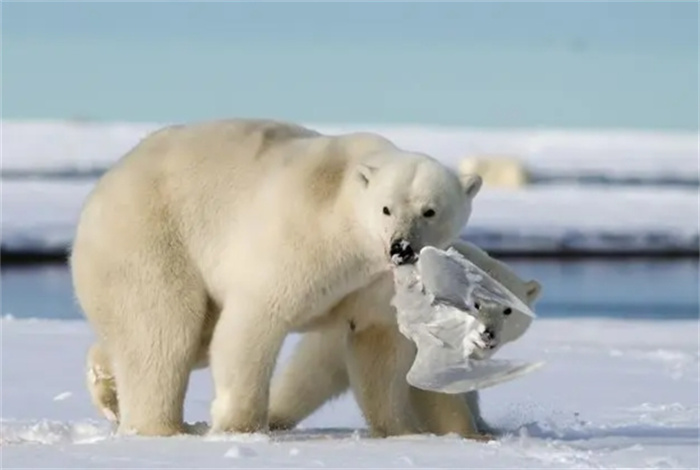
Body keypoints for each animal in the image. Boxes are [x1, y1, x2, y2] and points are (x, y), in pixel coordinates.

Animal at [72, 118, 482, 436]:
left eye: (429, 211)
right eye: (386, 208)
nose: (401, 247)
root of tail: (103, 186)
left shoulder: (378, 284)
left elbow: (377, 344)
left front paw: (402, 431)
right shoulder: (301, 238)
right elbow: (254, 322)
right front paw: (239, 426)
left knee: (182, 338)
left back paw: (108, 387)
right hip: (151, 237)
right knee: (164, 329)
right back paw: (161, 427)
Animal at [268, 241, 540, 438]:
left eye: (508, 310)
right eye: (476, 303)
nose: (488, 334)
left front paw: (485, 425)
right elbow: (430, 389)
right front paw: (470, 433)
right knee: (312, 375)